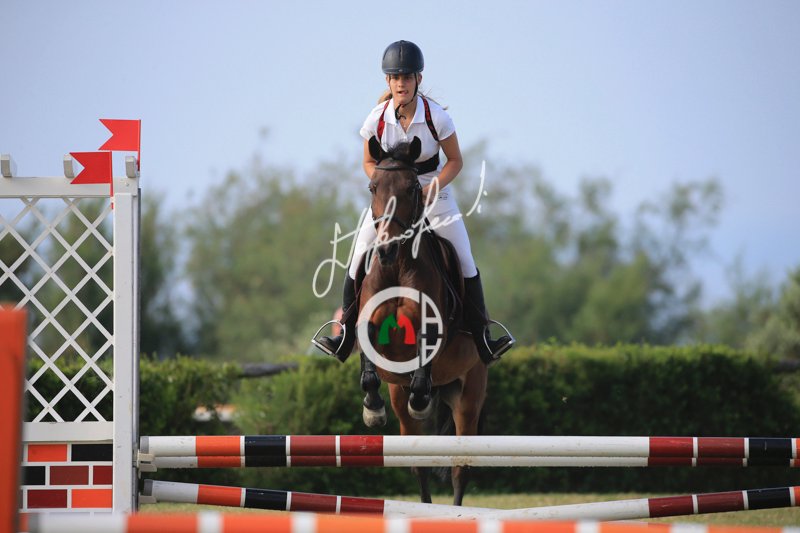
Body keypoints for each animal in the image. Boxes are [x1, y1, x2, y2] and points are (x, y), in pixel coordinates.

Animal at [355, 136, 488, 505]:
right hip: (402, 399)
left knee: (460, 469)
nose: (385, 249)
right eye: (373, 187)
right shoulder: (368, 323)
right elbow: (367, 358)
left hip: (469, 397)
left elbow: (423, 359)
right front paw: (373, 410)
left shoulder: (431, 329)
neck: (398, 265)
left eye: (413, 188)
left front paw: (421, 400)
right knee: (419, 465)